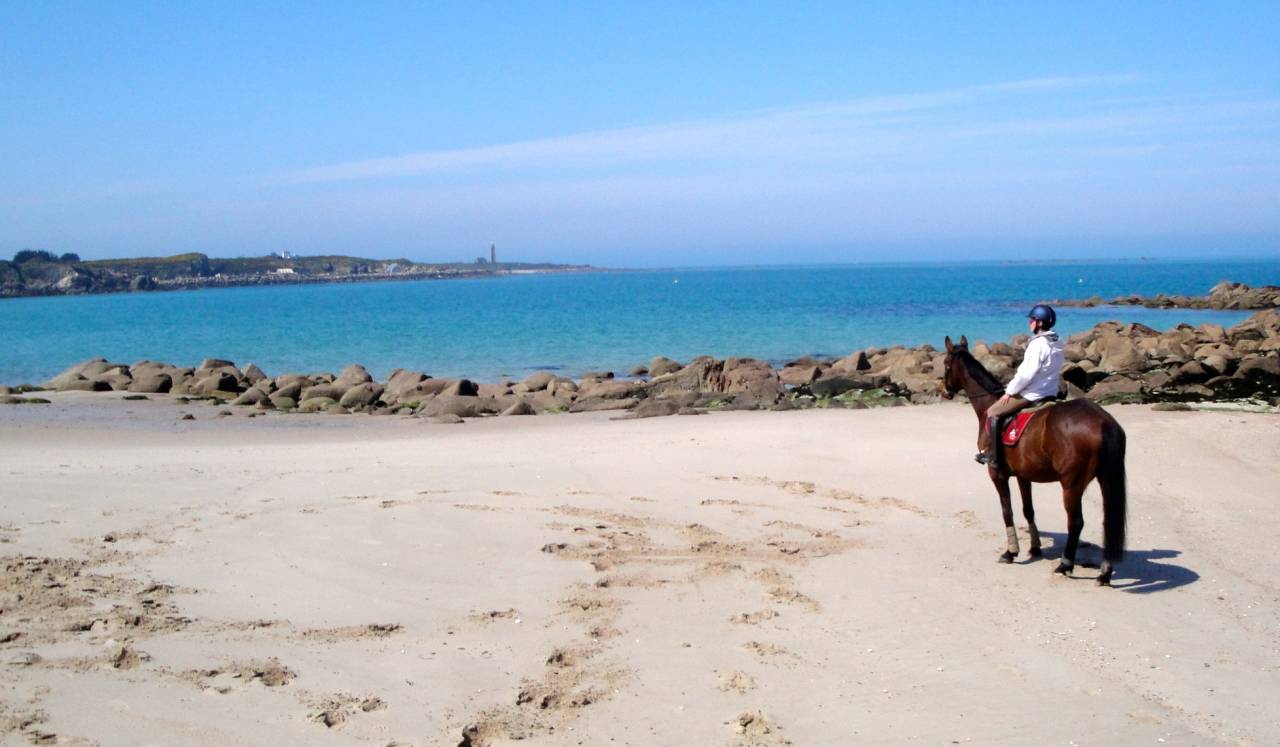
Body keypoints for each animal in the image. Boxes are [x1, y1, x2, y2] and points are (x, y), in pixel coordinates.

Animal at [940, 335, 1127, 585]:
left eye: (946, 364)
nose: (944, 391)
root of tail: (1104, 421)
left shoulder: (997, 474)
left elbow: (1007, 511)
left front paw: (1011, 552)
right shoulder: (1023, 475)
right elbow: (1028, 510)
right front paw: (1035, 547)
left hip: (1071, 484)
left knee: (1076, 522)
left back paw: (1064, 565)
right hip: (1105, 478)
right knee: (1109, 520)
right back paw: (1105, 572)